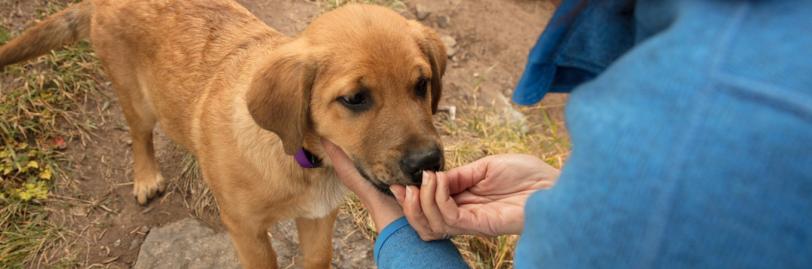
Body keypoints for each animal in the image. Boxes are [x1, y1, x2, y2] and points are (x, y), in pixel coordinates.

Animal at [0, 1, 448, 266]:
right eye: (355, 99)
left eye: (421, 84)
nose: (429, 163)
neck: (301, 159)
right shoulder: (246, 230)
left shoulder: (318, 218)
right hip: (136, 98)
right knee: (140, 135)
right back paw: (146, 177)